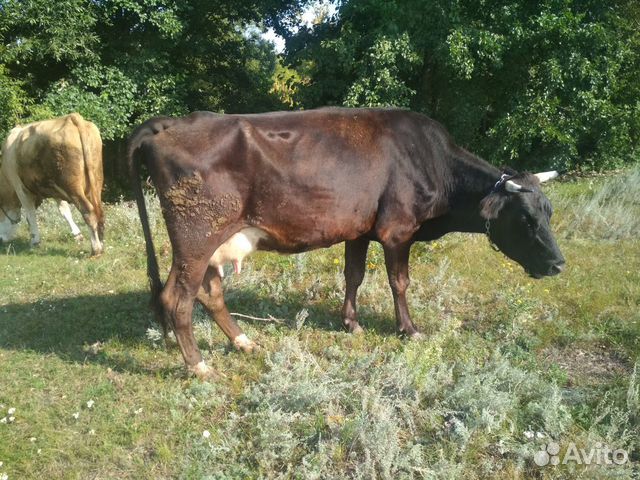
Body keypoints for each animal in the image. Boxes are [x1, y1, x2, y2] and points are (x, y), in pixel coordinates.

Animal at [0, 113, 105, 255]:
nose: (1, 239)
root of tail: (72, 117)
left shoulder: (20, 188)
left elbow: (30, 214)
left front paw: (35, 241)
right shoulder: (54, 189)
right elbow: (64, 211)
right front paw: (77, 234)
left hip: (72, 187)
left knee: (88, 211)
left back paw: (96, 248)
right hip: (96, 182)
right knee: (100, 212)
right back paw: (101, 242)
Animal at [126, 109, 564, 378]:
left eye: (549, 212)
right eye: (525, 219)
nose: (559, 265)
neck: (431, 160)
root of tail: (170, 123)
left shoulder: (360, 230)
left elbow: (353, 275)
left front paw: (350, 322)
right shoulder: (397, 229)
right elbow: (399, 282)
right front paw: (409, 329)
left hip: (209, 243)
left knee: (209, 292)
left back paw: (244, 342)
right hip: (195, 237)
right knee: (177, 299)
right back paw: (199, 366)